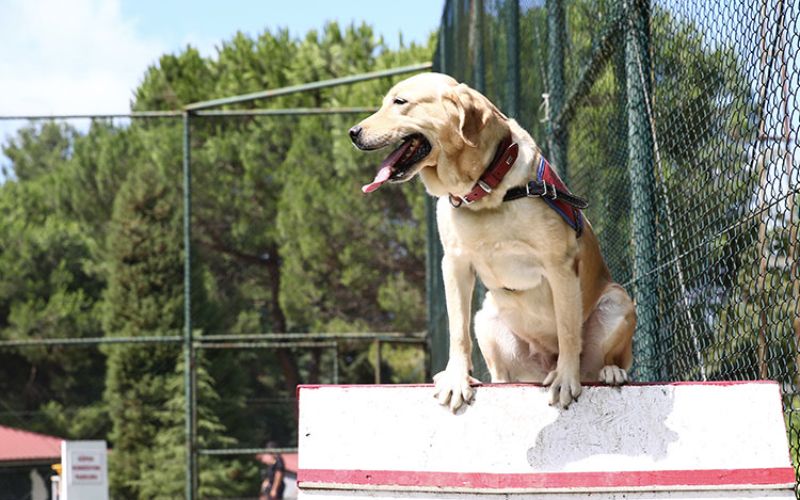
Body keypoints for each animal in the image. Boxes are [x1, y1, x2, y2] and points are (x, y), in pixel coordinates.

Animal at [354, 73, 636, 410]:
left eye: (400, 102)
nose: (353, 133)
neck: (484, 189)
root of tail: (545, 359)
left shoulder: (560, 266)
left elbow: (568, 331)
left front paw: (566, 379)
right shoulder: (455, 264)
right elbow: (457, 331)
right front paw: (456, 378)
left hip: (618, 301)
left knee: (604, 359)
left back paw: (610, 372)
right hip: (486, 318)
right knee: (501, 373)